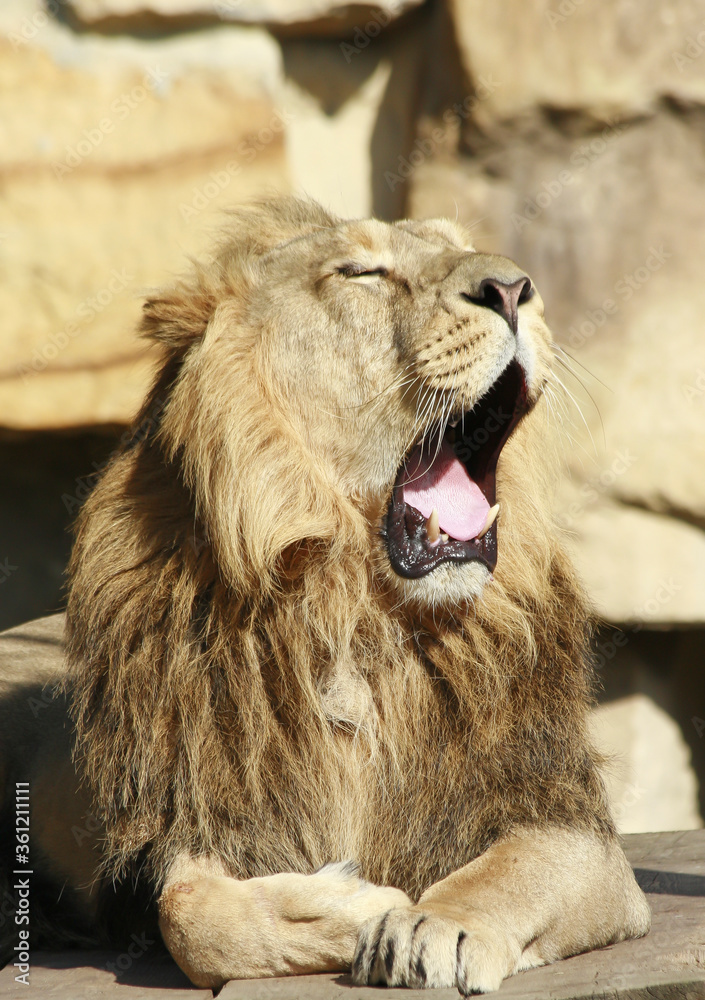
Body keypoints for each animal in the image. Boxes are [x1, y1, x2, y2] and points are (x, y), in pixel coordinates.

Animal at [0, 197, 649, 993]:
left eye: (464, 249)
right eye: (361, 272)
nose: (511, 288)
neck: (355, 606)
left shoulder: (572, 824)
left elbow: (504, 875)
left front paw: (431, 922)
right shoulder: (196, 813)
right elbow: (190, 914)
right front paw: (361, 901)